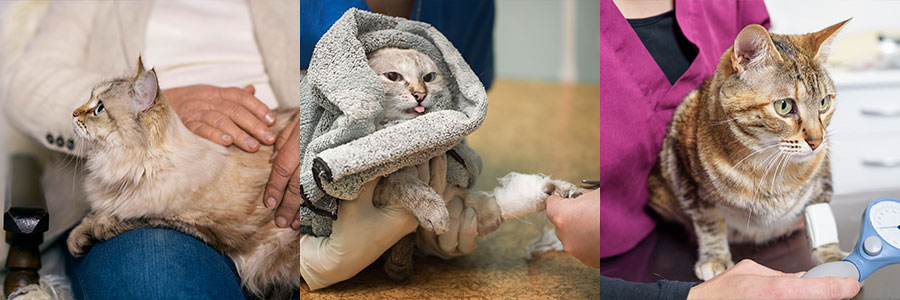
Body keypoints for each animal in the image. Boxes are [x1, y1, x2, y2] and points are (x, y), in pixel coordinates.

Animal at [652, 20, 848, 282]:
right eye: (784, 106)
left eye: (824, 103)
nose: (817, 141)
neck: (769, 166)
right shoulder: (686, 172)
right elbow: (709, 223)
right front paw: (715, 257)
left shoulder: (822, 179)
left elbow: (821, 217)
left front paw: (832, 256)